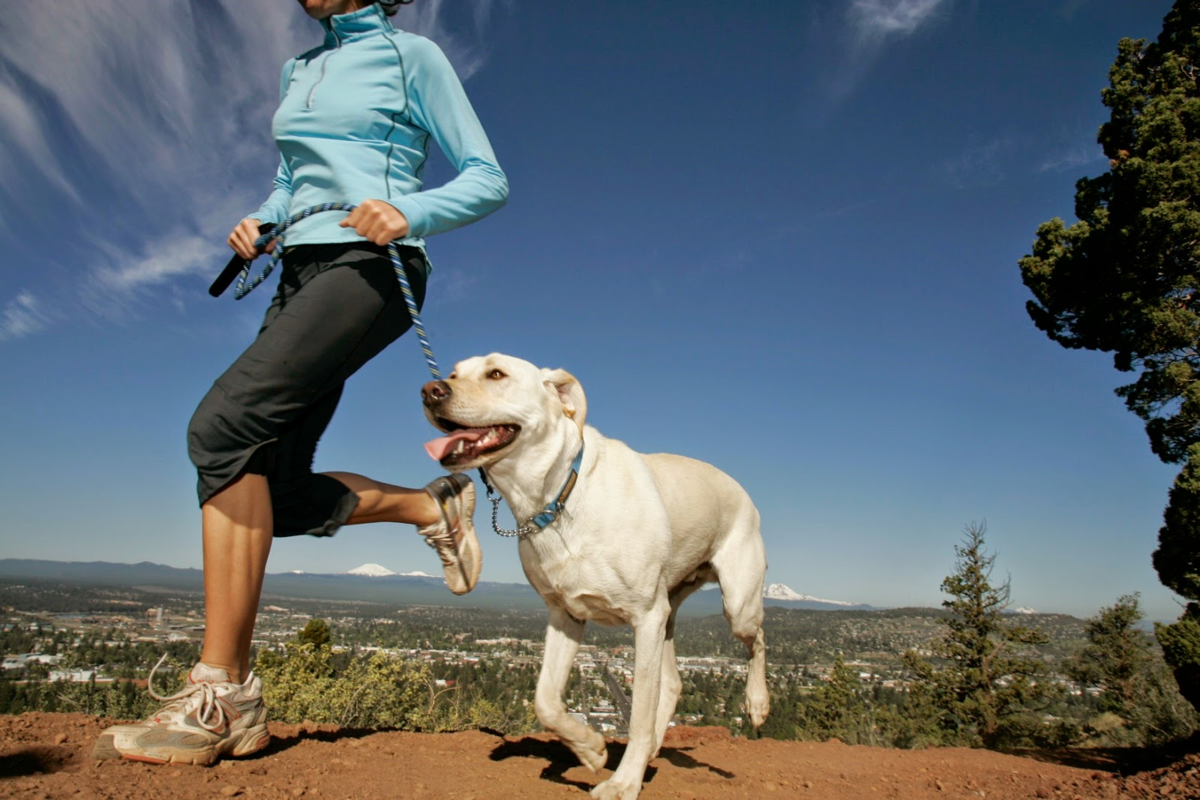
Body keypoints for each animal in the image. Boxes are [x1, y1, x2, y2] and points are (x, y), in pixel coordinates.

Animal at [422, 355, 768, 800]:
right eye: (452, 373)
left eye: (496, 374)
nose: (430, 391)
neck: (558, 496)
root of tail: (738, 486)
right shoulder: (566, 615)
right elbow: (545, 701)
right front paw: (591, 749)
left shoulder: (645, 618)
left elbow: (638, 715)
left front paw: (623, 782)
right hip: (668, 614)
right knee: (674, 683)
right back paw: (652, 750)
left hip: (735, 604)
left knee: (757, 639)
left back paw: (757, 704)